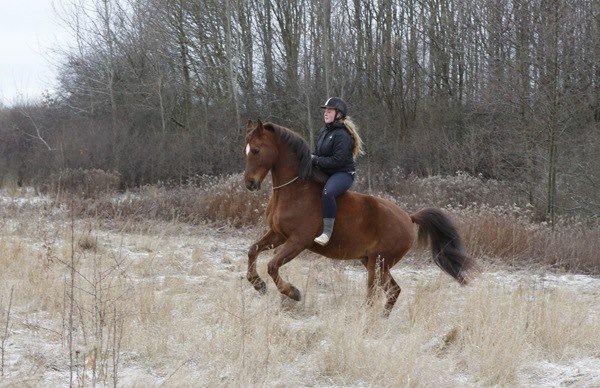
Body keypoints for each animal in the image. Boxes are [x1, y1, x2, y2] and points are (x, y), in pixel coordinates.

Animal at [241, 119, 472, 316]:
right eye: (247, 150)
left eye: (256, 150)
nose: (250, 184)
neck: (295, 190)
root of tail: (408, 217)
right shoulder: (278, 234)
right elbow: (253, 250)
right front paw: (258, 284)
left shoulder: (298, 241)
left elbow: (272, 266)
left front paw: (293, 292)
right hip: (373, 262)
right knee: (393, 291)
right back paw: (380, 320)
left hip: (378, 264)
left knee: (374, 294)